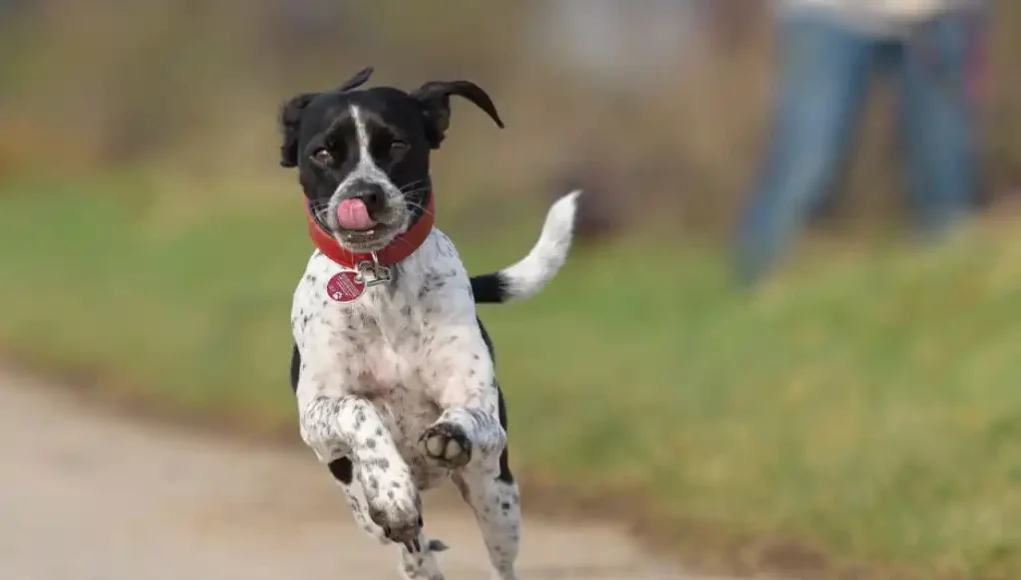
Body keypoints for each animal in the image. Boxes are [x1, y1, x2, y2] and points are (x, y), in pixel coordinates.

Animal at [283, 65, 579, 575]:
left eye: (397, 144)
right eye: (323, 152)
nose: (364, 195)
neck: (377, 277)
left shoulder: (483, 414)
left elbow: (466, 414)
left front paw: (450, 433)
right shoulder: (318, 416)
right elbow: (359, 410)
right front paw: (392, 490)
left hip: (497, 499)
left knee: (502, 562)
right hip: (366, 514)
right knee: (412, 551)